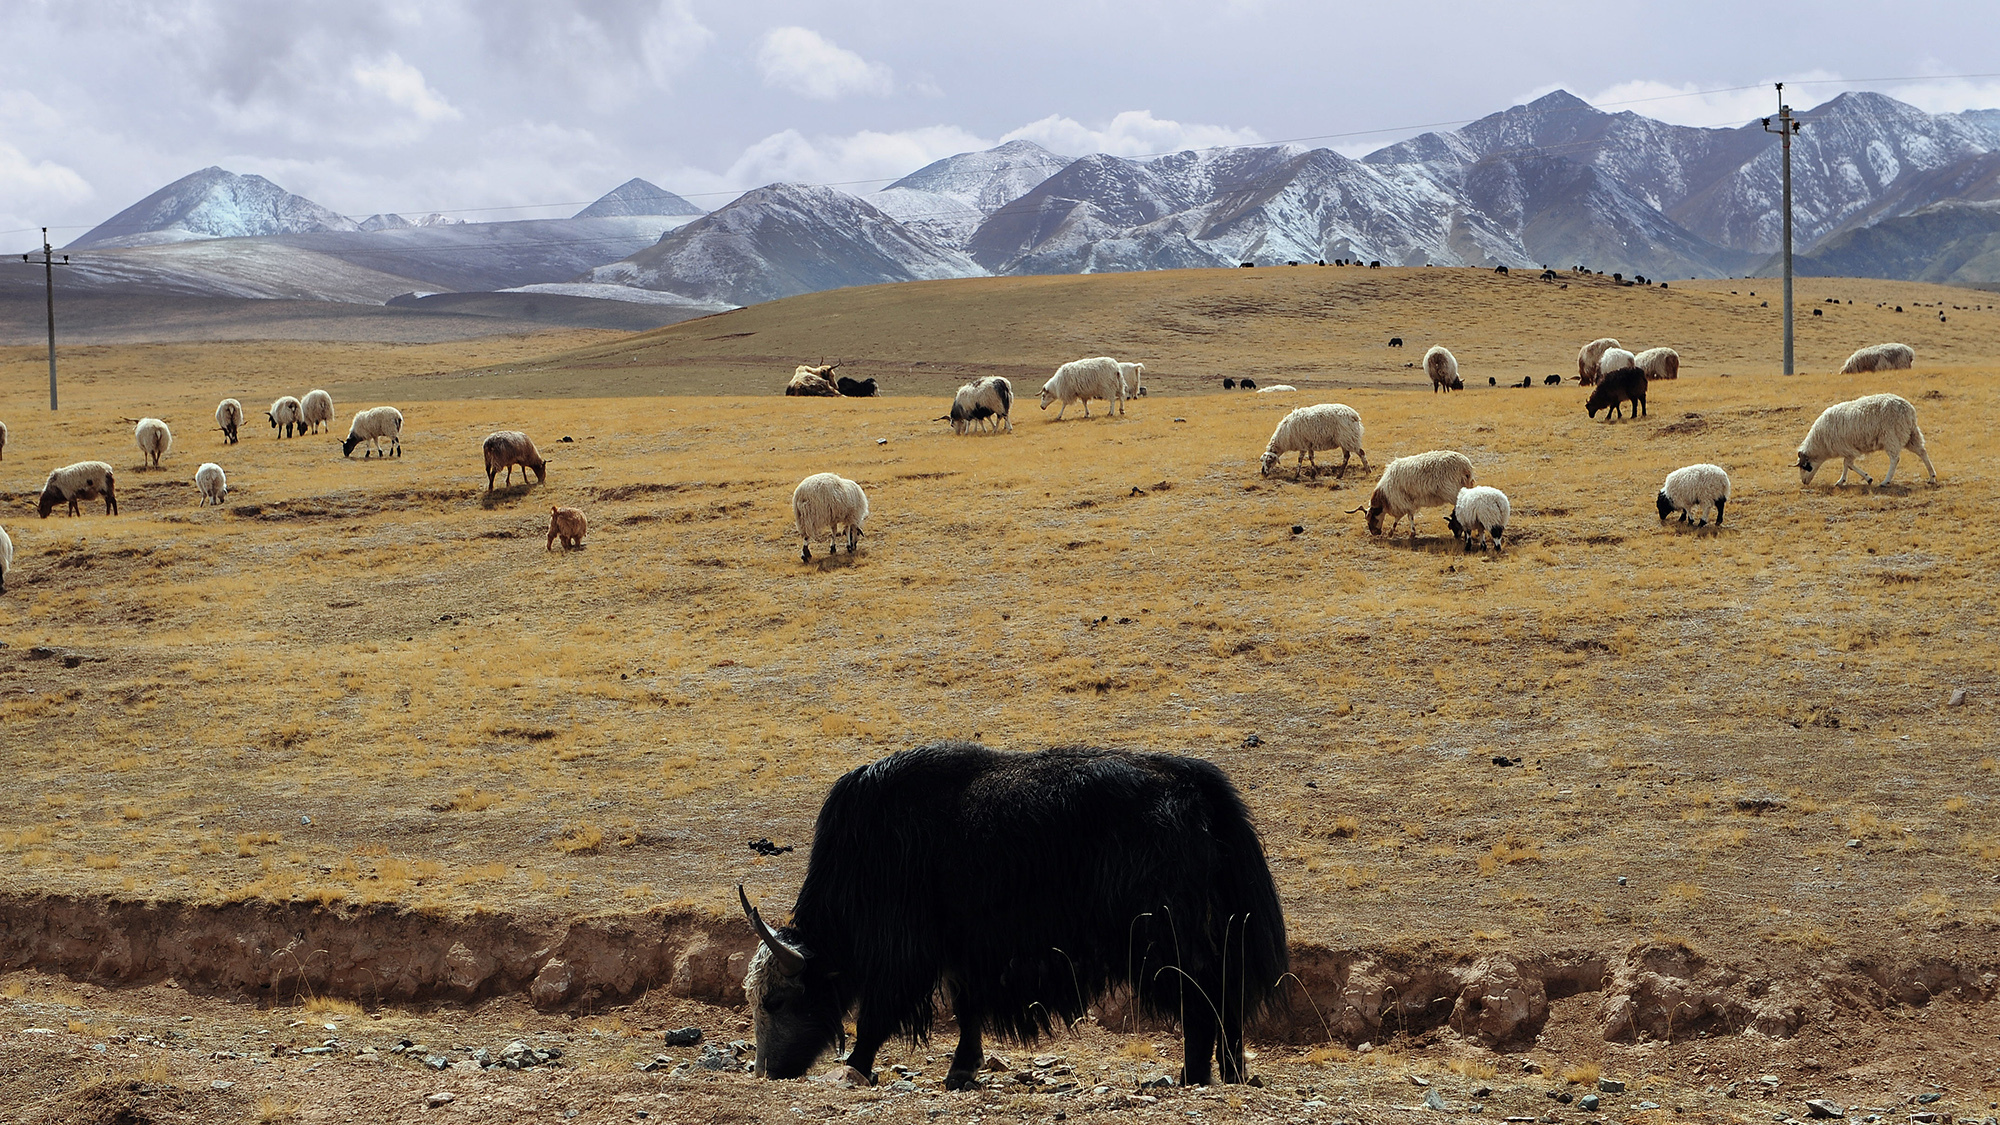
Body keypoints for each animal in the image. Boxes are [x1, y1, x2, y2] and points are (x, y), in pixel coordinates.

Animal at [1352, 446, 1480, 532]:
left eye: (1371, 518)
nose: (1375, 533)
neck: (1385, 494)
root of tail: (1466, 467)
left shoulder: (1401, 501)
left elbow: (1405, 516)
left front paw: (1405, 532)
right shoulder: (1406, 502)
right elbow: (1407, 515)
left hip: (1454, 492)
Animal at [1800, 392, 1936, 484]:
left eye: (1806, 466)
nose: (1804, 482)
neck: (1821, 442)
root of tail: (1908, 409)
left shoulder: (1847, 448)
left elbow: (1848, 464)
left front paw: (1867, 478)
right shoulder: (1848, 449)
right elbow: (1846, 464)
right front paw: (1842, 481)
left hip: (1891, 436)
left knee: (1895, 459)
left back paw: (1886, 481)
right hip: (1911, 434)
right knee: (1922, 452)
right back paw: (1932, 477)